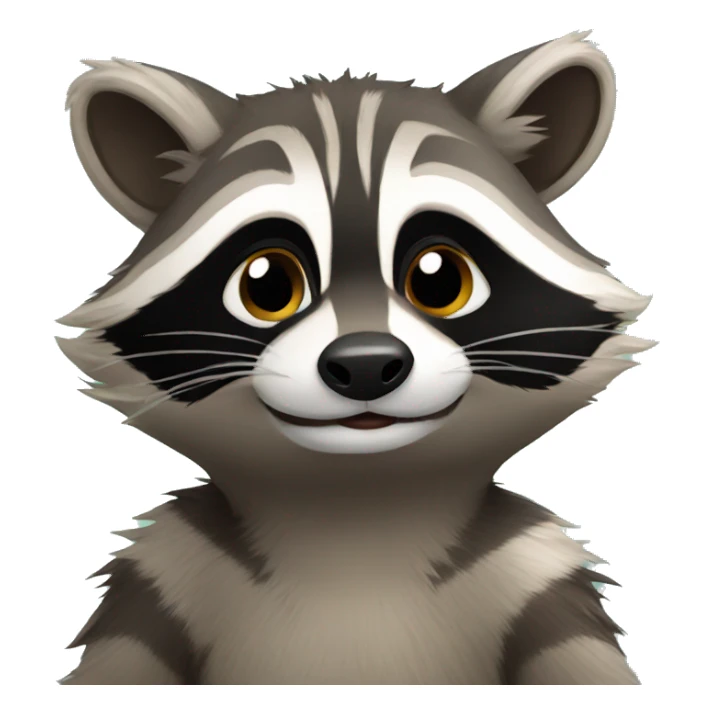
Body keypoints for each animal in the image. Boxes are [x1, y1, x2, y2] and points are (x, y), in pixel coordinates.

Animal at [57, 32, 651, 684]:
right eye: (267, 284)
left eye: (440, 279)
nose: (366, 363)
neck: (355, 526)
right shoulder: (167, 569)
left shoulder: (532, 570)